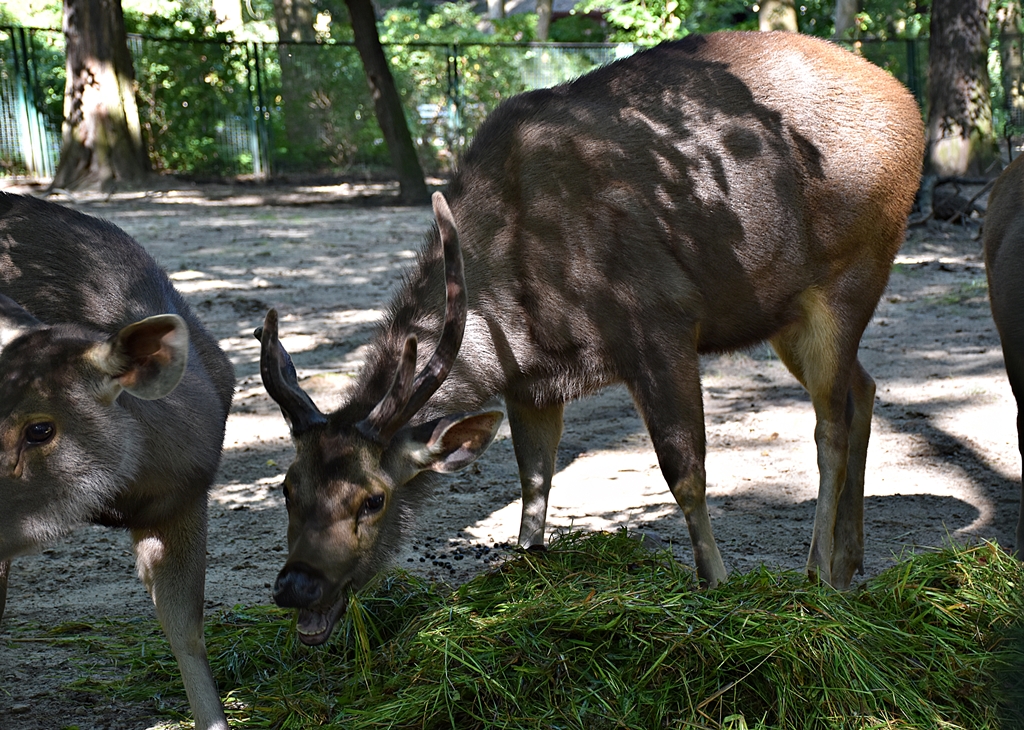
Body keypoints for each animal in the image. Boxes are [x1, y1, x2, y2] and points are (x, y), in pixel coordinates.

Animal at [256, 31, 925, 646]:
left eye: (373, 498)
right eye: (287, 488)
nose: (296, 585)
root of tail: (911, 107)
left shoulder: (661, 320)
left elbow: (685, 472)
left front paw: (717, 585)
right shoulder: (531, 382)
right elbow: (533, 484)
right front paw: (527, 575)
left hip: (851, 274)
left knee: (829, 424)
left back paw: (817, 576)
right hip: (783, 312)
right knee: (863, 388)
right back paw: (850, 562)